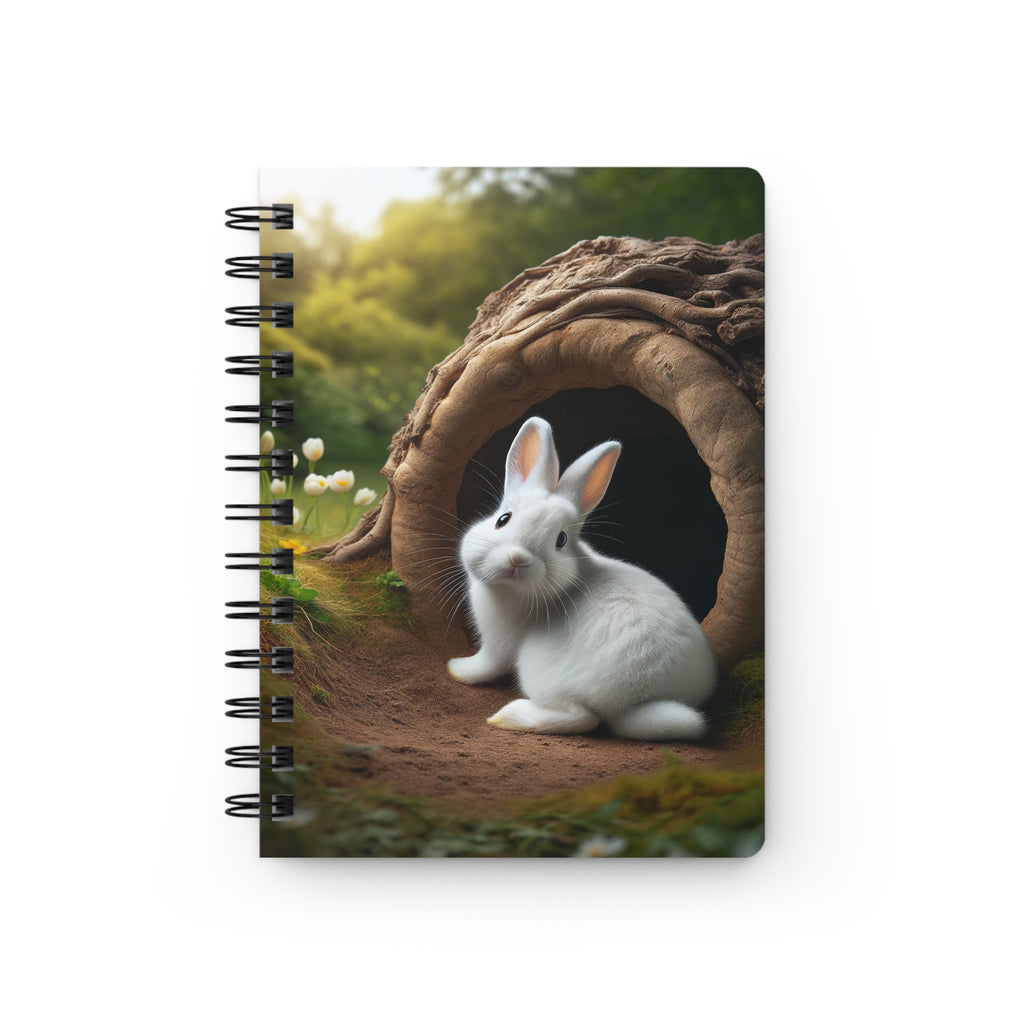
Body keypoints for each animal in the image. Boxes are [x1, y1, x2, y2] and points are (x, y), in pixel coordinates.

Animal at [446, 416, 717, 740]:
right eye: (503, 519)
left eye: (560, 540)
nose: (518, 559)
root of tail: (638, 700)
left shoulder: (498, 642)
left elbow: (486, 665)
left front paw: (456, 667)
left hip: (542, 672)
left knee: (581, 718)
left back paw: (507, 717)